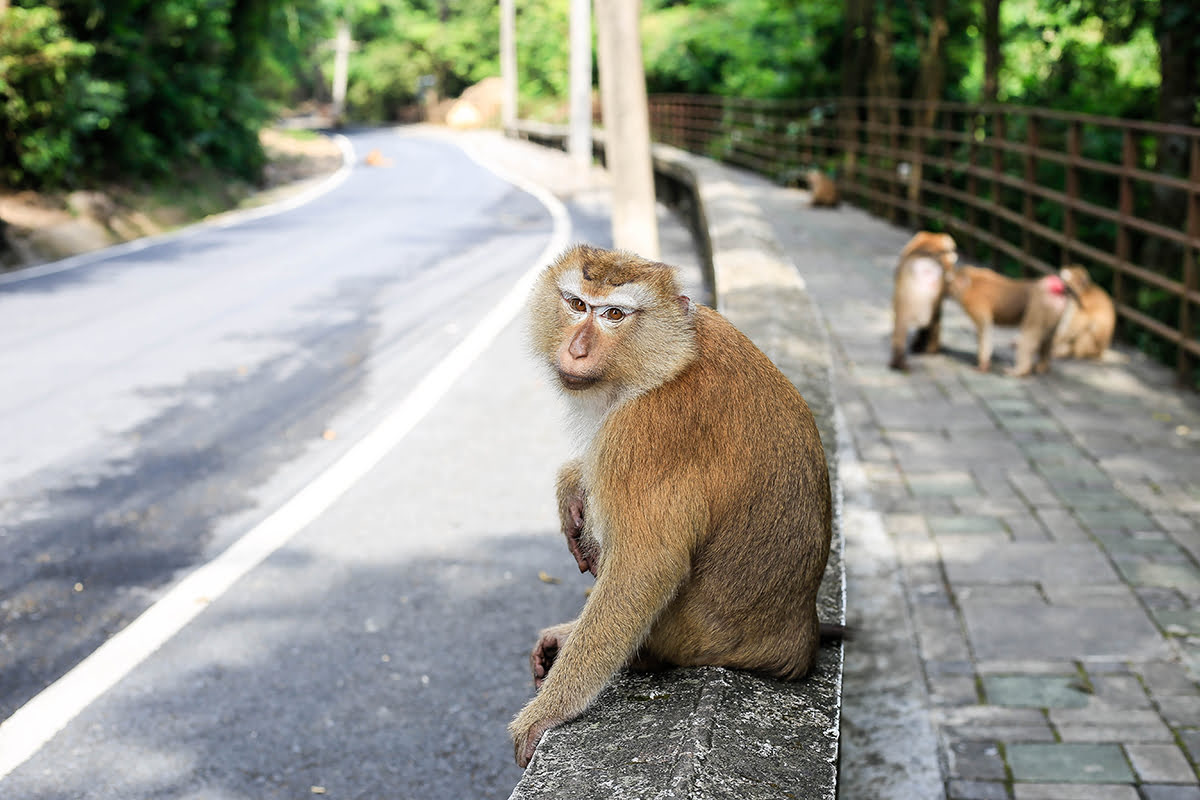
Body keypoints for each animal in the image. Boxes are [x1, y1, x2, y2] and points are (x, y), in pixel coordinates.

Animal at [508, 245, 835, 767]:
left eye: (614, 314)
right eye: (577, 305)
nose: (577, 349)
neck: (666, 360)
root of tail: (798, 640)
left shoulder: (642, 433)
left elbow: (645, 567)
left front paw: (546, 714)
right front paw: (569, 485)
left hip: (692, 636)